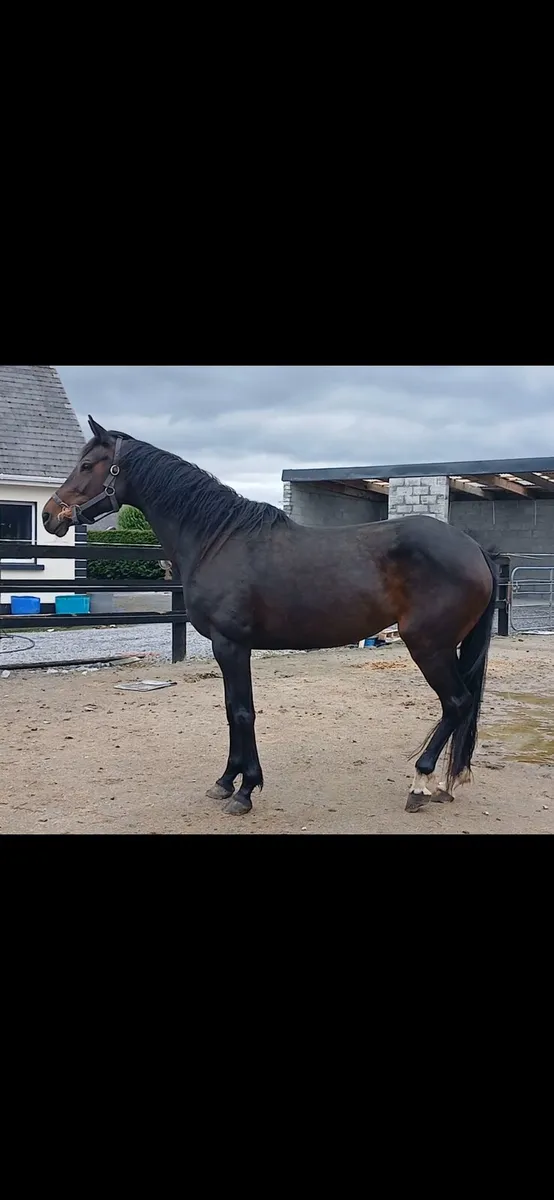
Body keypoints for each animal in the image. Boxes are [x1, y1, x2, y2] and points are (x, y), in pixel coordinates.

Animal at [42, 417, 497, 817]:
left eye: (87, 465)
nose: (49, 515)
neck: (217, 539)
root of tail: (475, 549)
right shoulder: (227, 648)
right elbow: (231, 709)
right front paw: (225, 781)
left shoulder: (231, 644)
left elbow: (243, 711)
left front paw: (245, 791)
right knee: (461, 706)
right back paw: (444, 783)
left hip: (428, 646)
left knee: (456, 704)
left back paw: (420, 783)